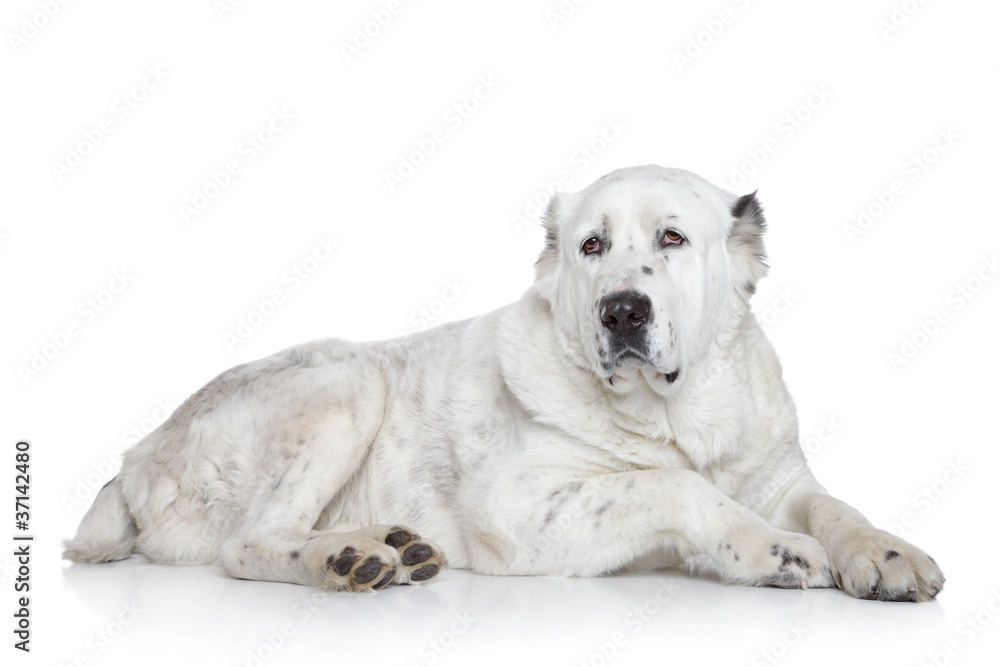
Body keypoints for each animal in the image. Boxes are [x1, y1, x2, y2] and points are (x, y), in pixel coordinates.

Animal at [64, 166, 944, 600]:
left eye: (672, 238)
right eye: (592, 245)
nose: (622, 309)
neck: (675, 413)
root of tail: (132, 456)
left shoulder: (780, 477)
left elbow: (834, 506)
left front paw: (887, 551)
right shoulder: (518, 509)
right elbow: (673, 486)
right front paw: (773, 551)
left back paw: (390, 544)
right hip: (348, 376)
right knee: (250, 542)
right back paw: (346, 559)